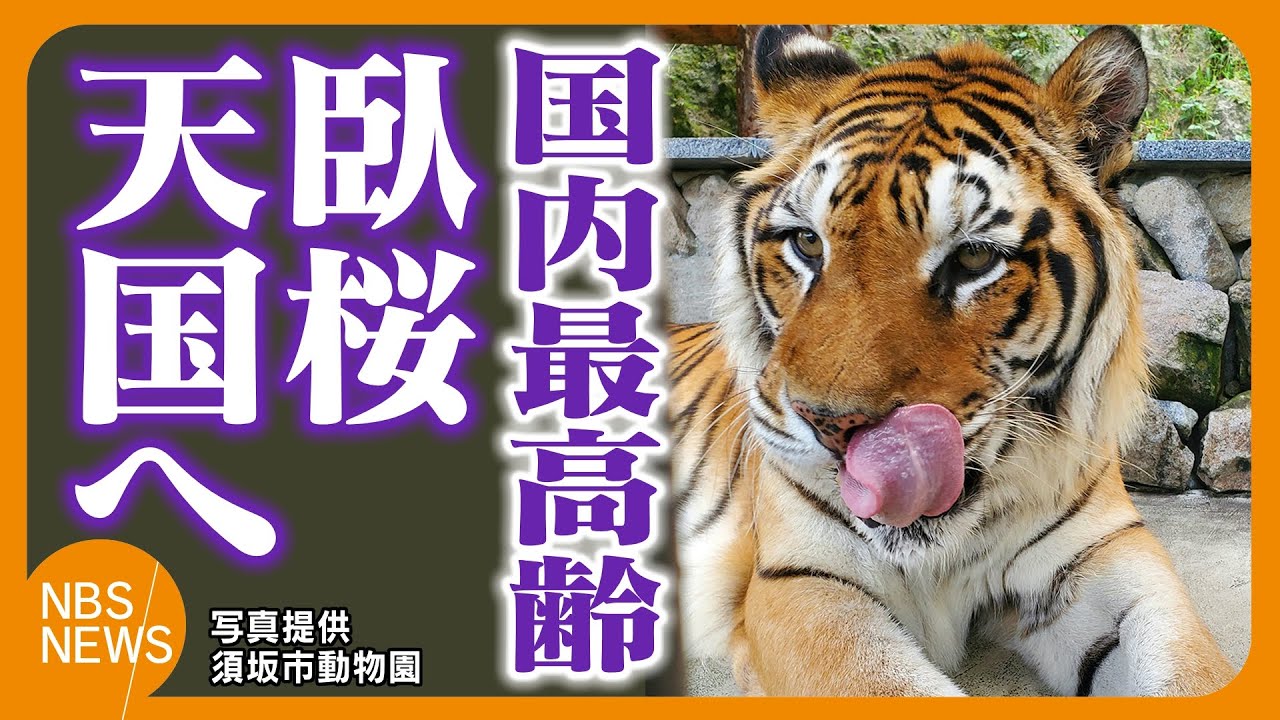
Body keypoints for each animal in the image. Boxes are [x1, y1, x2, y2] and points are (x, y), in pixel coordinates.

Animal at [667, 25, 1234, 696]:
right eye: (808, 242)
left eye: (973, 258)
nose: (831, 425)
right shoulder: (802, 582)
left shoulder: (1106, 555)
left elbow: (1187, 669)